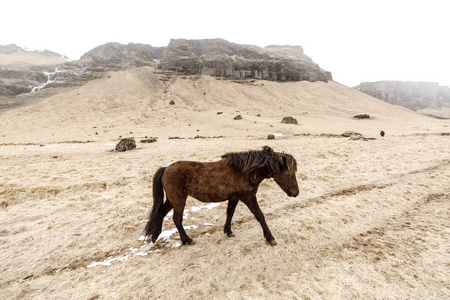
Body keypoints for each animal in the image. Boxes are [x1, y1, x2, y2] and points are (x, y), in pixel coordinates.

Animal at [144, 145, 298, 246]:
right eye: (290, 173)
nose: (296, 193)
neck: (244, 171)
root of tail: (166, 169)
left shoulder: (234, 197)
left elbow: (230, 213)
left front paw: (228, 231)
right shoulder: (248, 197)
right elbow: (259, 215)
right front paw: (270, 237)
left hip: (172, 200)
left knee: (161, 212)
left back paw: (155, 236)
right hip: (178, 199)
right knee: (177, 219)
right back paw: (187, 240)